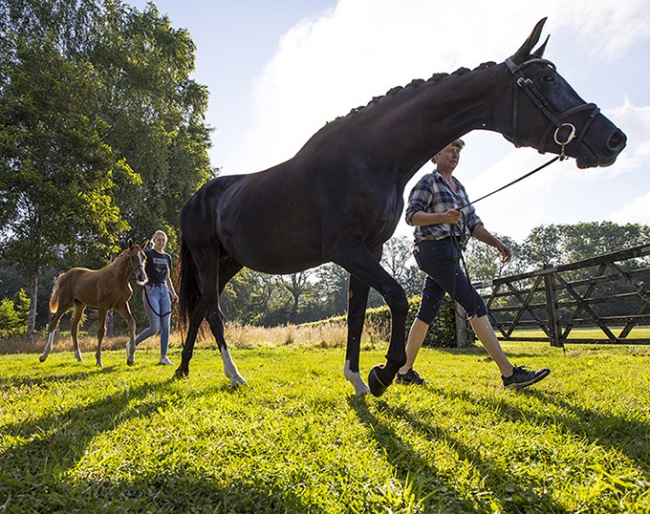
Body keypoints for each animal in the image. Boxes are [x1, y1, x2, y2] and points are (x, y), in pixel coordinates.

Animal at [172, 19, 624, 396]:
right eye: (546, 78)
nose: (614, 140)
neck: (371, 155)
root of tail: (197, 198)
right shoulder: (346, 249)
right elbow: (397, 298)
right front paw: (383, 374)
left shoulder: (367, 250)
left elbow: (357, 313)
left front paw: (357, 378)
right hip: (207, 256)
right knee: (213, 312)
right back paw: (233, 375)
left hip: (230, 262)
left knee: (200, 308)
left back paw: (183, 369)